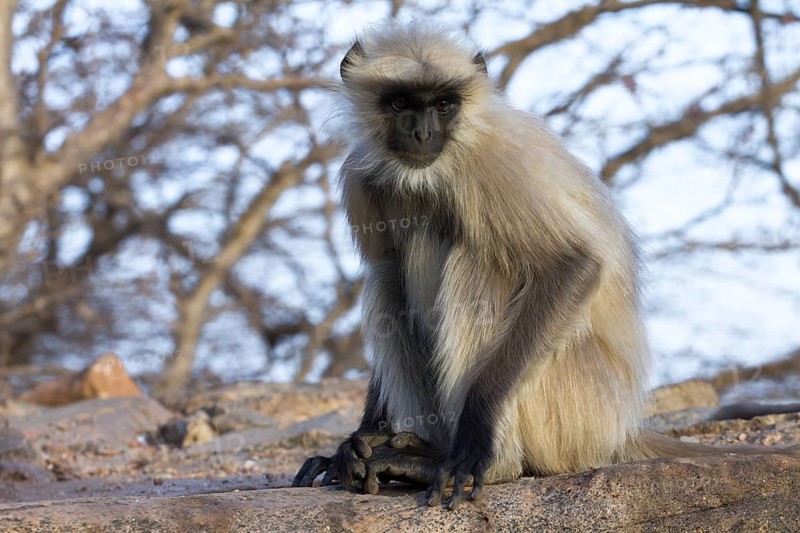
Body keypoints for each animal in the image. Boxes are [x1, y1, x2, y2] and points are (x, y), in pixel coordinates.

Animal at [292, 20, 800, 510]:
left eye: (443, 105)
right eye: (401, 102)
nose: (422, 133)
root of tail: (621, 427)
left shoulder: (494, 162)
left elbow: (574, 264)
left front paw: (473, 441)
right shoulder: (362, 174)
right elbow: (387, 263)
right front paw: (354, 444)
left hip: (575, 407)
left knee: (475, 259)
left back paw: (481, 463)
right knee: (387, 277)